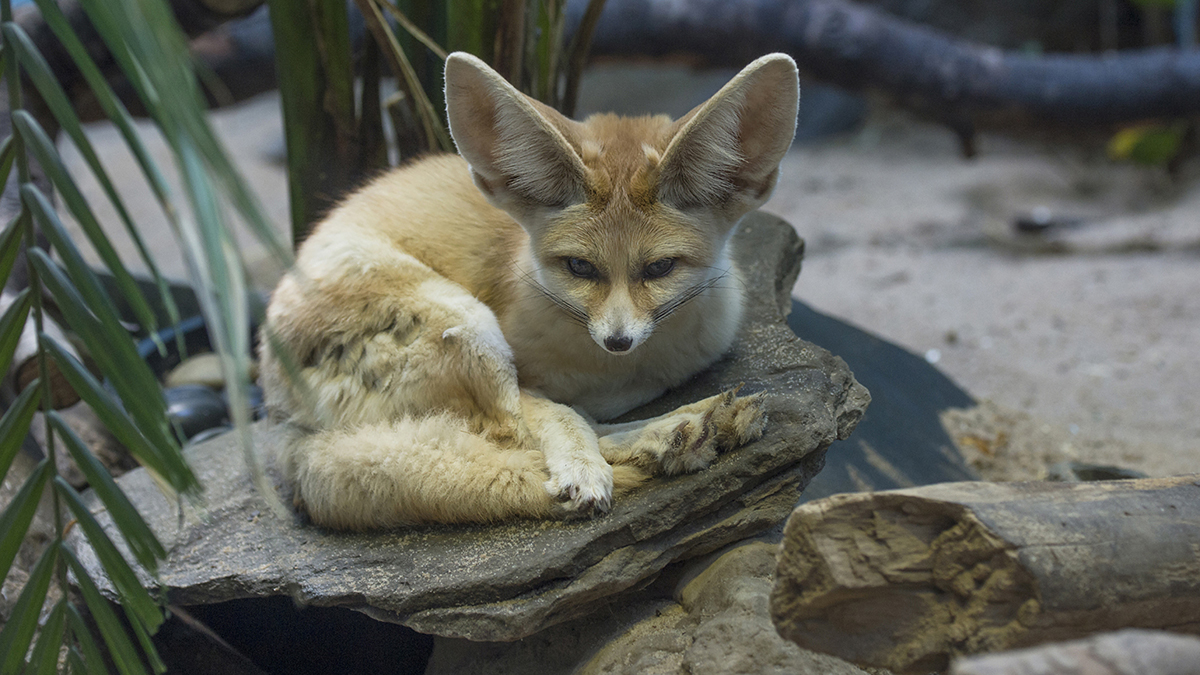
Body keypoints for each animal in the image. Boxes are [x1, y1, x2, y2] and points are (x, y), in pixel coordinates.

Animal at [259, 52, 800, 530]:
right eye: (580, 267)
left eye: (660, 268)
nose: (618, 341)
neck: (614, 371)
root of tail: (273, 410)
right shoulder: (530, 376)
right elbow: (559, 416)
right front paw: (587, 463)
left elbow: (576, 413)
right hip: (469, 324)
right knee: (511, 437)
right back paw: (668, 436)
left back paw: (700, 425)